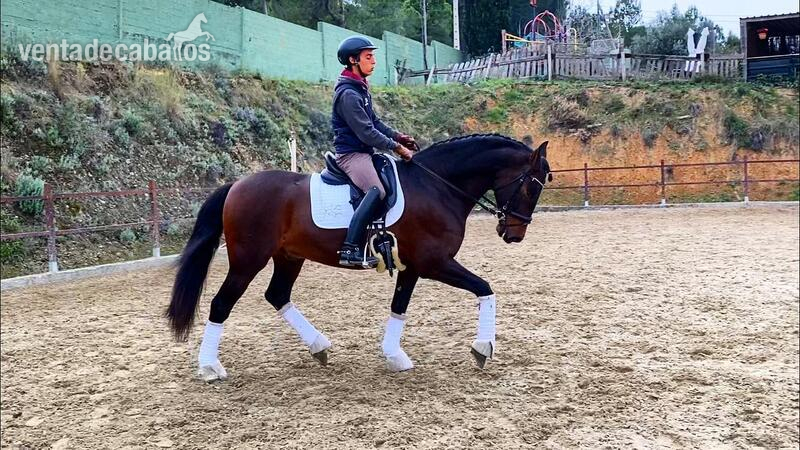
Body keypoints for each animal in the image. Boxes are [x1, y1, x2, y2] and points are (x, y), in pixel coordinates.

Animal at [166, 134, 552, 381]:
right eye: (532, 186)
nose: (514, 234)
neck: (437, 186)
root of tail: (236, 185)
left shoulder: (412, 266)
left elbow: (399, 307)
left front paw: (395, 356)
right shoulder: (435, 263)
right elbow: (485, 288)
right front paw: (483, 347)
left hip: (289, 257)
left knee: (277, 295)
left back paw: (319, 346)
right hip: (248, 260)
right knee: (221, 304)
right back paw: (209, 367)